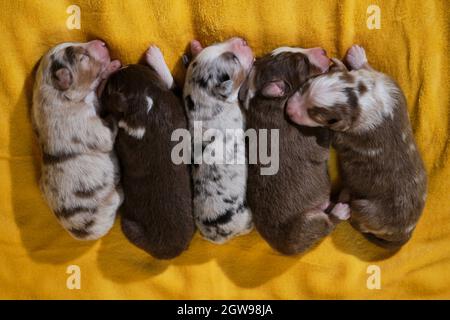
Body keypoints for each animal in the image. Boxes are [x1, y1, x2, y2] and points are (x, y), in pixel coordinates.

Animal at [31, 40, 123, 240]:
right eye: (83, 58)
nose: (102, 42)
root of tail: (81, 234)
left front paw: (111, 67)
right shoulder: (89, 126)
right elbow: (107, 134)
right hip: (108, 204)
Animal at [101, 45, 194, 260]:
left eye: (109, 89)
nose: (117, 64)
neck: (145, 105)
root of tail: (173, 250)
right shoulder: (174, 102)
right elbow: (171, 83)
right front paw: (155, 56)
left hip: (129, 226)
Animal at [182, 37, 253, 244]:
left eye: (216, 43)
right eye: (234, 60)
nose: (243, 40)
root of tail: (214, 237)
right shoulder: (240, 112)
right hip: (244, 217)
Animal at [241, 47, 350, 256]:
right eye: (301, 63)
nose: (323, 50)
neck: (267, 101)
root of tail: (284, 250)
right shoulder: (310, 141)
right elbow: (322, 142)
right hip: (307, 223)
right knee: (327, 225)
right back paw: (340, 211)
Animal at [286, 44, 428, 250]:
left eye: (315, 115)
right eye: (304, 86)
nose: (288, 110)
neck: (363, 100)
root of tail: (406, 233)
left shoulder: (345, 135)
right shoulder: (391, 86)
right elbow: (370, 71)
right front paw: (356, 57)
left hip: (366, 209)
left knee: (358, 218)